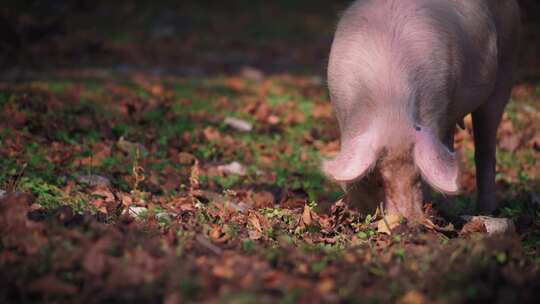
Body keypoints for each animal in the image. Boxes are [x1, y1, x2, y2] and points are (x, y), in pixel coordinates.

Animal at [322, 0, 520, 220]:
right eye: (380, 181)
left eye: (418, 178)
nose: (408, 221)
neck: (393, 107)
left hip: (506, 65)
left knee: (485, 147)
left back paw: (484, 211)